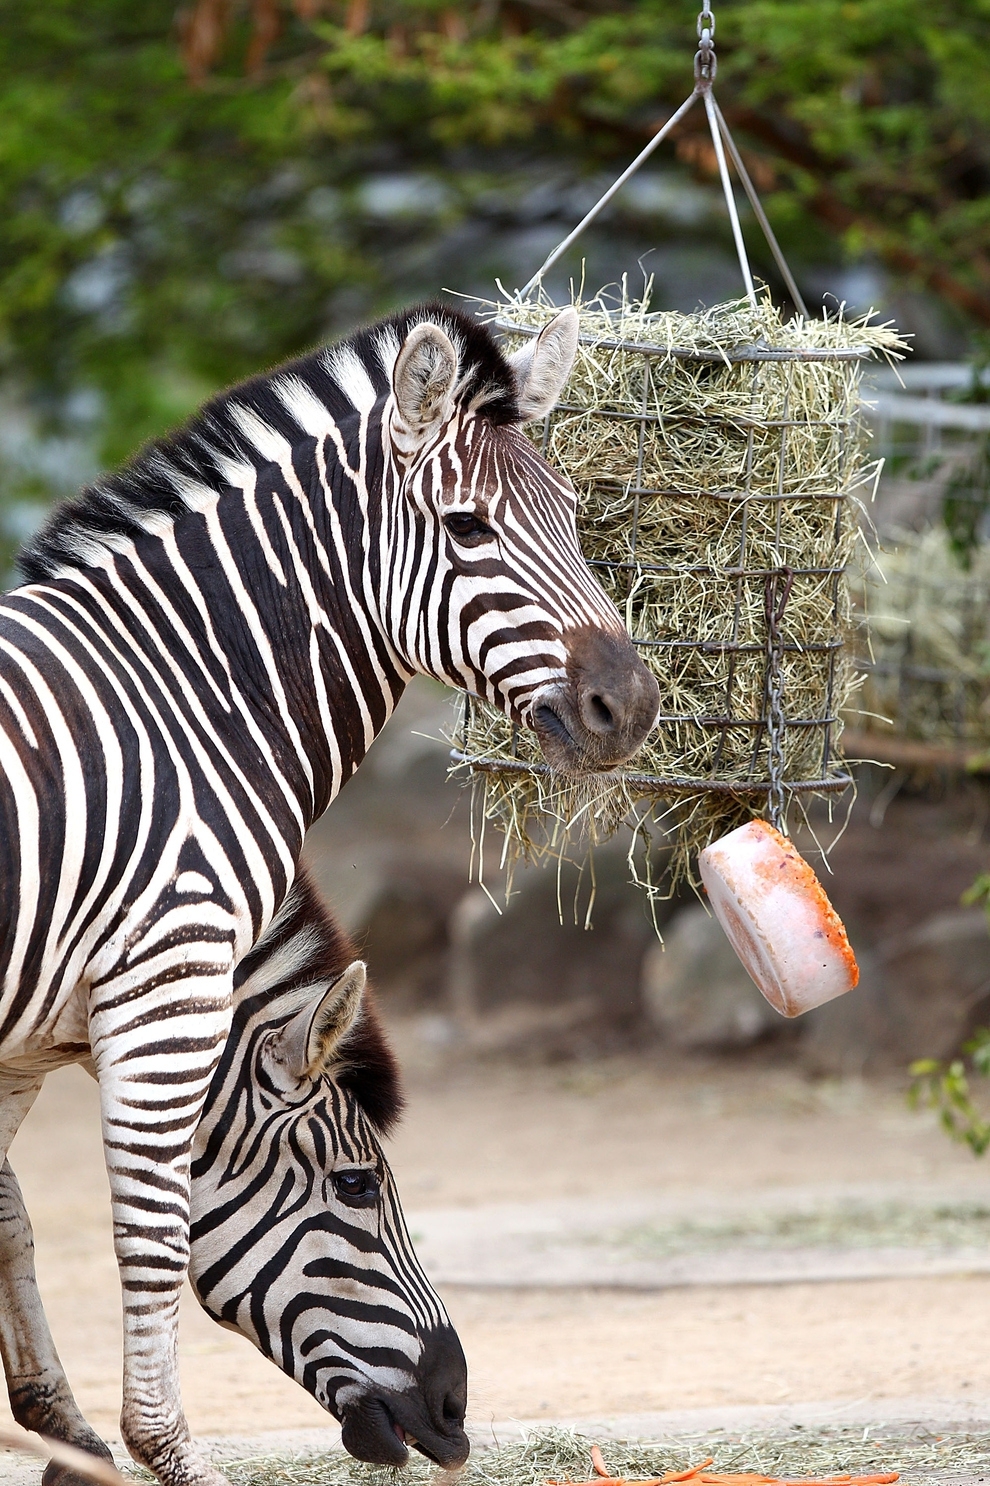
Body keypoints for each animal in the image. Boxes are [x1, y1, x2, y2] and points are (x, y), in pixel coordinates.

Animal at [1, 298, 662, 1486]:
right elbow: (151, 1233)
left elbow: (9, 1217)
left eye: (577, 517)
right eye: (465, 528)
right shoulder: (167, 984)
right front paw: (156, 1449)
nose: (628, 705)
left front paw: (61, 1433)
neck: (186, 694)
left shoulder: (35, 1030)